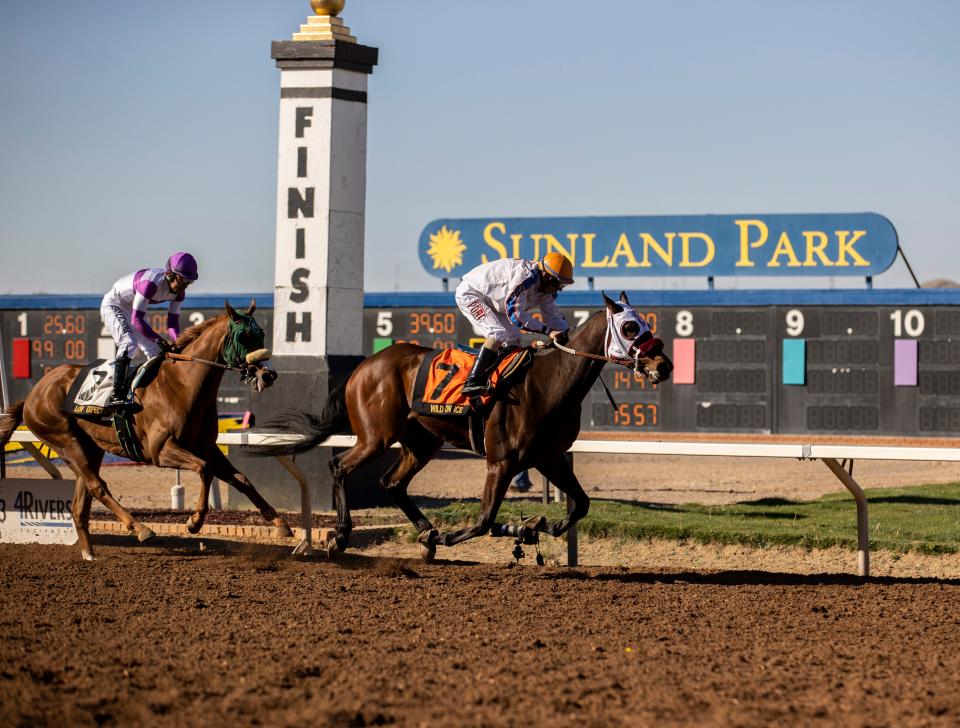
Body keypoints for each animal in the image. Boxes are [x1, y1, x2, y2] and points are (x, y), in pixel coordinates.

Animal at [0, 298, 292, 560]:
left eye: (261, 334)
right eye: (244, 336)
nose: (268, 374)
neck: (183, 386)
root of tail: (32, 394)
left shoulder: (207, 447)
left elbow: (241, 478)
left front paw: (280, 523)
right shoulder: (160, 451)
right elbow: (204, 470)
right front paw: (194, 521)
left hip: (90, 448)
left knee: (81, 502)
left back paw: (90, 554)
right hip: (65, 440)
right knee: (98, 487)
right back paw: (140, 528)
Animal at [258, 292, 672, 564]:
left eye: (645, 323)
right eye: (630, 327)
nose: (664, 365)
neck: (548, 384)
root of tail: (362, 365)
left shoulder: (549, 458)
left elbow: (581, 504)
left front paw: (537, 526)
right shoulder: (501, 462)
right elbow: (484, 519)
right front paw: (470, 532)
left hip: (421, 443)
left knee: (392, 483)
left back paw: (425, 535)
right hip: (377, 436)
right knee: (339, 466)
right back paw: (342, 537)